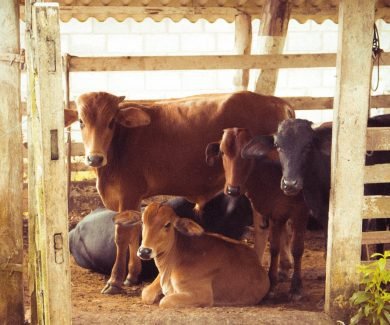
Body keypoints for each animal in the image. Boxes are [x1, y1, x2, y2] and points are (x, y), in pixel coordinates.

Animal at [206, 128, 310, 300]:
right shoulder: (276, 213)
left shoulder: (300, 212)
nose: (232, 190)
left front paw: (296, 288)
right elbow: (274, 247)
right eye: (222, 152)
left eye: (247, 154)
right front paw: (272, 284)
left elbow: (297, 248)